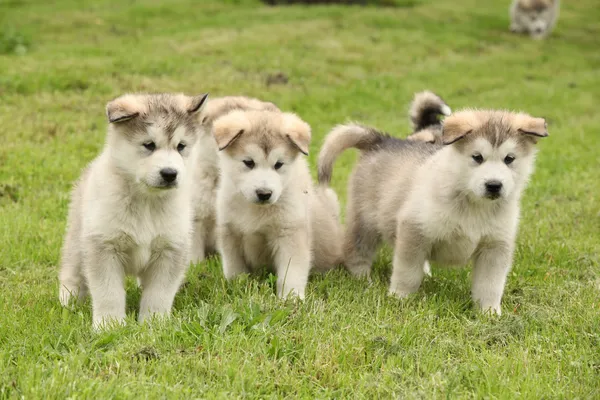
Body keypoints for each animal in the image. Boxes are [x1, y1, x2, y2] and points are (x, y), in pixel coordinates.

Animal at [59, 93, 209, 328]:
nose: (169, 173)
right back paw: (69, 300)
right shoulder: (104, 246)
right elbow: (108, 293)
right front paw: (109, 326)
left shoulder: (170, 250)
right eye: (149, 145)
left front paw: (154, 324)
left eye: (181, 146)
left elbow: (158, 294)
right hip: (78, 238)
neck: (147, 201)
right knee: (71, 269)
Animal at [213, 108, 342, 296]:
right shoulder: (230, 232)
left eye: (279, 164)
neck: (256, 209)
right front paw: (236, 288)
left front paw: (291, 297)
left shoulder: (290, 234)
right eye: (249, 162)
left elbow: (291, 275)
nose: (264, 193)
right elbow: (235, 270)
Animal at [318, 110, 548, 316]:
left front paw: (489, 312)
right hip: (366, 220)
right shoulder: (414, 228)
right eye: (477, 157)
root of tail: (383, 140)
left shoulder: (495, 246)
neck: (473, 205)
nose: (494, 185)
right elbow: (407, 272)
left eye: (509, 159)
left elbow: (490, 284)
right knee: (357, 251)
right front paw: (400, 298)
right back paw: (362, 279)